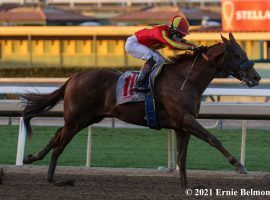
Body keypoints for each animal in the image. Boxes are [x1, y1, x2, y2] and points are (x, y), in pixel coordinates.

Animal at [22, 33, 260, 188]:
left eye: (244, 52)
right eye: (237, 55)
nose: (256, 77)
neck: (185, 79)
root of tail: (74, 77)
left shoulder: (182, 125)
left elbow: (182, 158)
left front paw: (186, 186)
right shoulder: (185, 119)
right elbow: (213, 139)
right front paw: (239, 166)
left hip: (87, 118)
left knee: (56, 135)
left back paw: (32, 157)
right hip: (77, 119)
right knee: (59, 144)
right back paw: (53, 179)